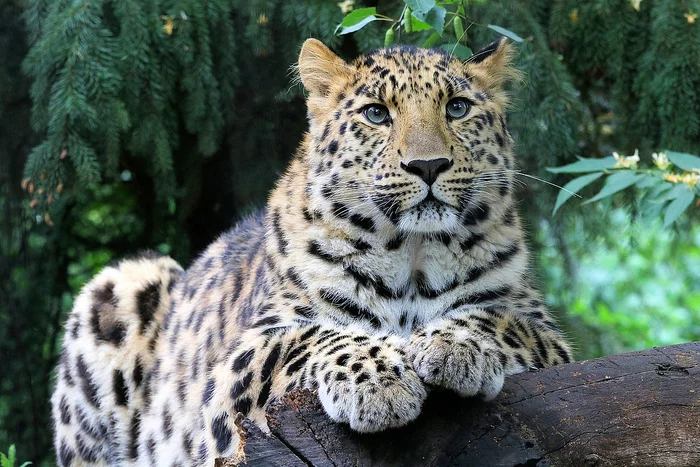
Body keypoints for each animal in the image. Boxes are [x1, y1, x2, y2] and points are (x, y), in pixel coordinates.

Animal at [50, 38, 576, 466]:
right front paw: (379, 381)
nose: (428, 165)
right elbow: (313, 336)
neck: (412, 253)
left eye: (458, 108)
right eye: (376, 114)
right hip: (123, 284)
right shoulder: (233, 373)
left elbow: (499, 320)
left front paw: (456, 346)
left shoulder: (551, 342)